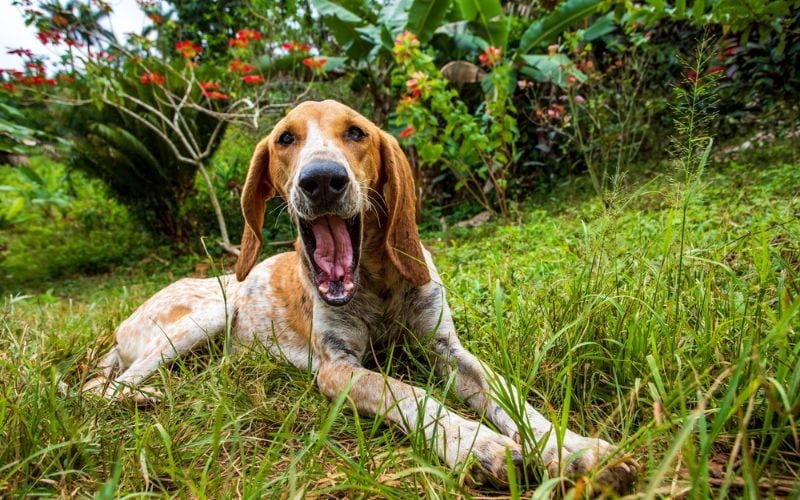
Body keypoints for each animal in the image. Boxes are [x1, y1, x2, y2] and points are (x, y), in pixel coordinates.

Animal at [84, 100, 636, 488]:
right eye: (285, 139)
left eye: (356, 133)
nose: (323, 180)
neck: (375, 279)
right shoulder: (337, 368)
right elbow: (409, 393)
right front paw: (480, 446)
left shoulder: (448, 350)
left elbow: (511, 394)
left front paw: (574, 448)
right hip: (209, 313)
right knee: (99, 387)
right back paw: (147, 397)